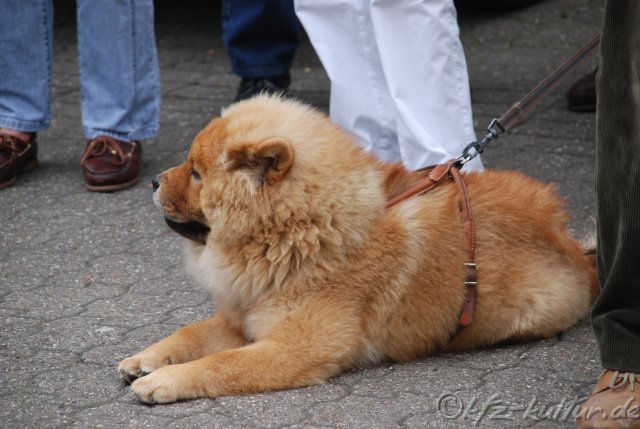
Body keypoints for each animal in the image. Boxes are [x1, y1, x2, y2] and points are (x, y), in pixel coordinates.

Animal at [117, 94, 596, 404]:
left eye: (197, 174)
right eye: (189, 165)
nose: (154, 180)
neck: (298, 232)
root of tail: (571, 246)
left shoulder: (295, 348)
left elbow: (222, 364)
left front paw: (164, 380)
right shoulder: (241, 317)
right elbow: (191, 333)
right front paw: (147, 358)